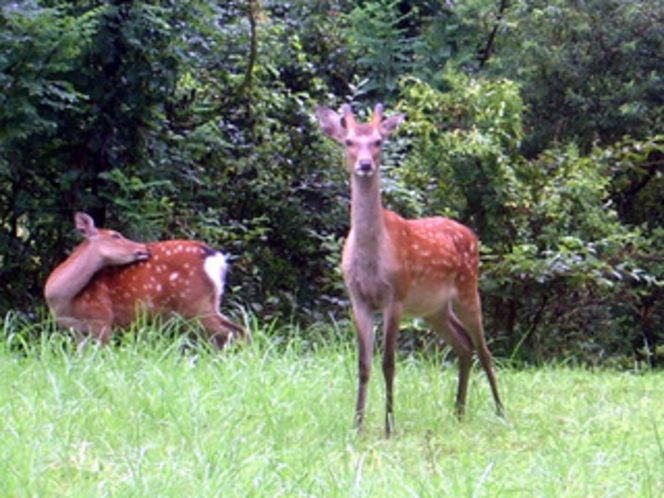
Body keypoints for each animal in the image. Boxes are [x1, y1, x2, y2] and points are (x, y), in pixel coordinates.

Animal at [44, 212, 248, 348]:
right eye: (115, 235)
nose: (144, 248)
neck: (63, 300)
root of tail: (216, 258)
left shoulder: (101, 317)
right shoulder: (76, 329)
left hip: (196, 302)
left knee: (237, 331)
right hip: (210, 302)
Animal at [316, 103, 504, 434]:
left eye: (379, 141)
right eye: (348, 141)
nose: (365, 165)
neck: (371, 261)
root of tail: (471, 234)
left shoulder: (396, 295)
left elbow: (388, 363)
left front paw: (389, 426)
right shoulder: (358, 300)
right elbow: (363, 364)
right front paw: (358, 425)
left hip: (468, 287)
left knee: (484, 349)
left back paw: (500, 411)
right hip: (434, 308)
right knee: (464, 344)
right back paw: (458, 412)